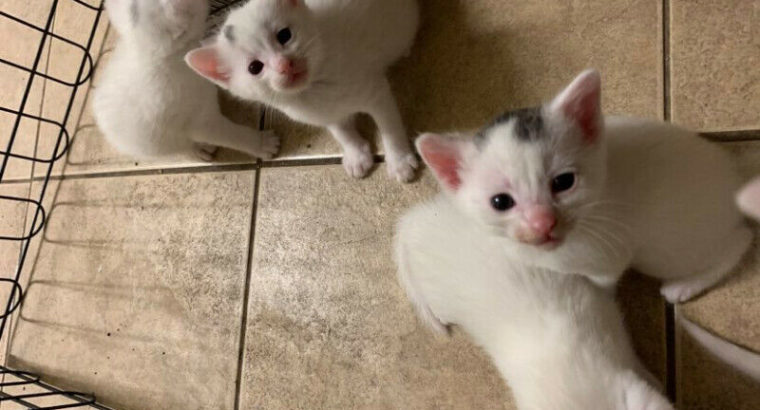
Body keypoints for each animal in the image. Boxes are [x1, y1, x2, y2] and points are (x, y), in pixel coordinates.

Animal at [94, 0, 280, 162]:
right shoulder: (199, 122)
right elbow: (231, 134)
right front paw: (262, 143)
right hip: (157, 144)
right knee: (180, 149)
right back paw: (200, 150)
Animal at [186, 0, 422, 183]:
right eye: (254, 67)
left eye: (284, 35)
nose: (284, 64)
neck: (313, 89)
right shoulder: (320, 113)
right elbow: (339, 129)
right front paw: (356, 153)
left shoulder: (376, 90)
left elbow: (389, 127)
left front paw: (399, 162)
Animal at [418, 69, 752, 302]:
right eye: (500, 202)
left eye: (564, 182)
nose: (542, 223)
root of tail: (734, 175)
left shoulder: (610, 255)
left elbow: (602, 285)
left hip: (670, 246)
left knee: (740, 241)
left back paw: (685, 285)